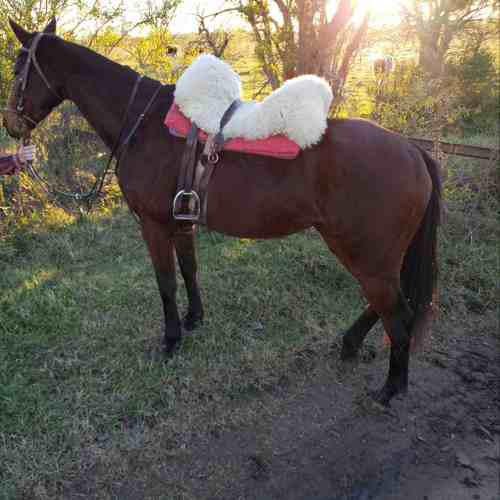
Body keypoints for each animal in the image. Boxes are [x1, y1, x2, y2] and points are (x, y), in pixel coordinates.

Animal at [3, 19, 442, 406]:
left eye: (19, 67)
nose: (10, 125)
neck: (143, 123)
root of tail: (412, 150)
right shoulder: (181, 221)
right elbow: (189, 270)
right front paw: (194, 319)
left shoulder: (153, 225)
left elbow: (166, 281)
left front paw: (171, 340)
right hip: (377, 256)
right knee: (384, 306)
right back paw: (350, 345)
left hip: (365, 253)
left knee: (396, 313)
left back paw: (390, 389)